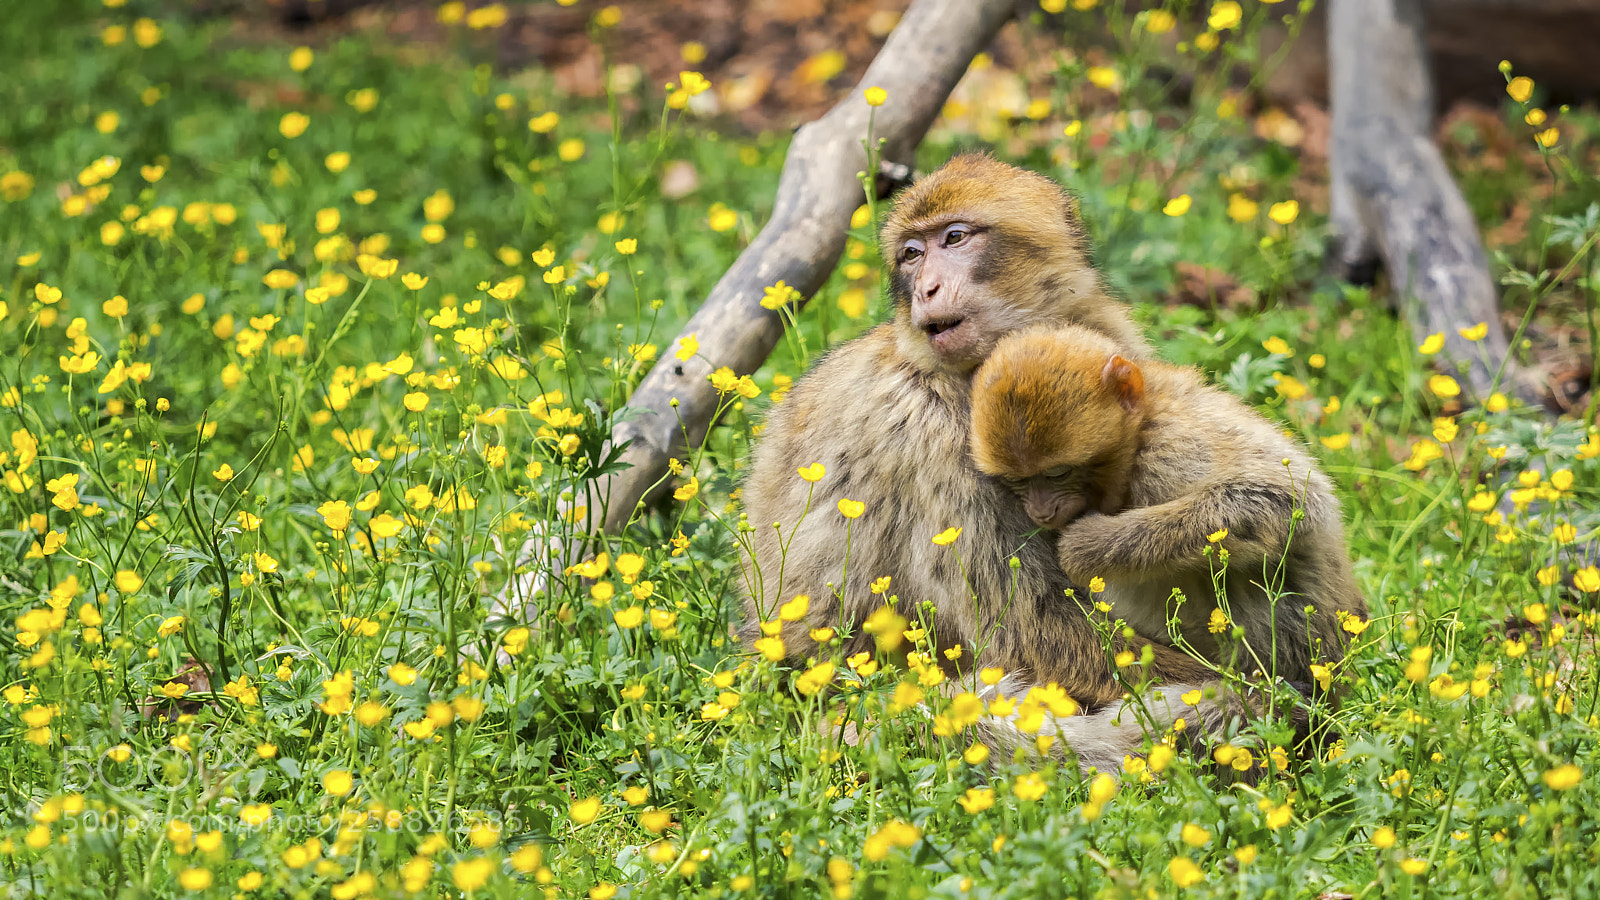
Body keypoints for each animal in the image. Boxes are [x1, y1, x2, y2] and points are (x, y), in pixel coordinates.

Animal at [739, 153, 1227, 772]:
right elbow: (1031, 631)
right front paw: (1261, 691)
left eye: (954, 238)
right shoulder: (927, 429)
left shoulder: (1105, 338)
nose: (925, 287)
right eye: (912, 254)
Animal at [968, 323, 1368, 696]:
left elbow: (1291, 499)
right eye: (1017, 480)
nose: (1041, 511)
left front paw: (1084, 545)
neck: (1139, 436)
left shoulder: (1172, 448)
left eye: (1058, 473)